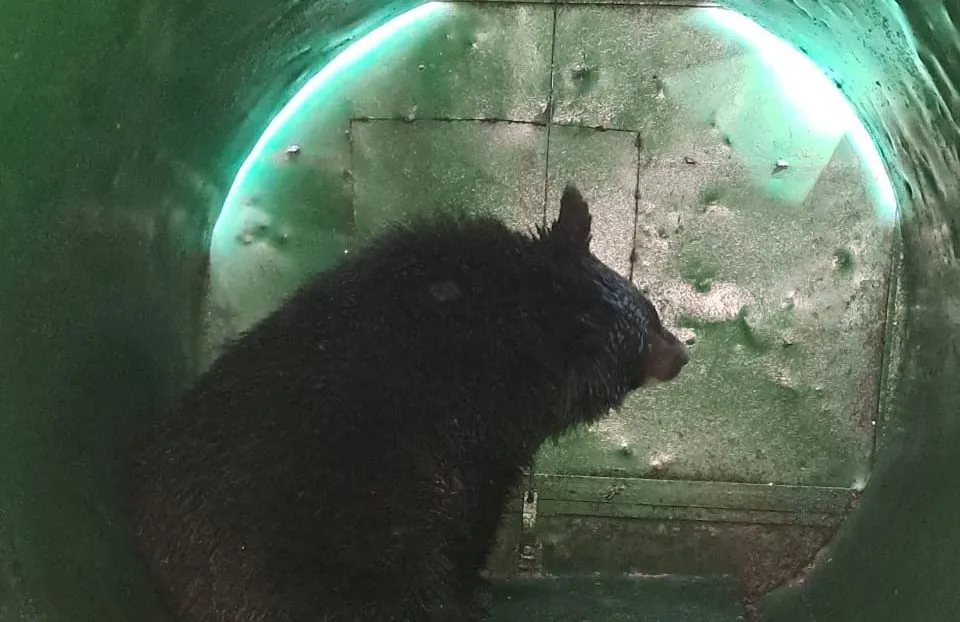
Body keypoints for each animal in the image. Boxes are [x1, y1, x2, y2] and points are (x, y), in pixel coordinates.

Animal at [130, 184, 689, 622]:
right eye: (634, 351)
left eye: (652, 311)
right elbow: (473, 518)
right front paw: (472, 590)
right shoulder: (476, 436)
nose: (683, 354)